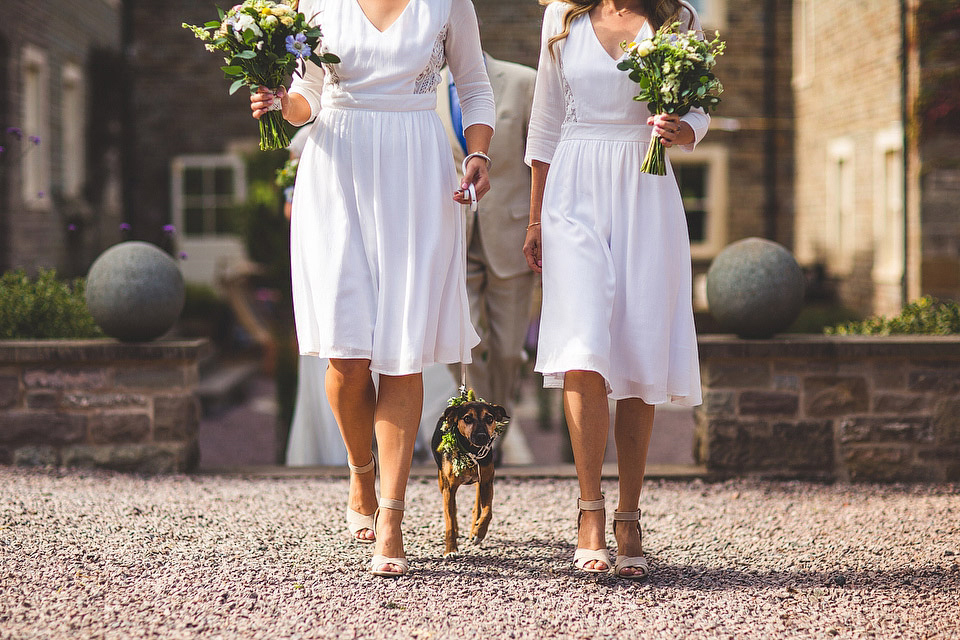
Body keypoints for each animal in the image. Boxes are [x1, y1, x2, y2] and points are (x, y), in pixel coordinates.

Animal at [434, 400, 510, 556]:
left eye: (489, 418)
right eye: (467, 418)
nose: (481, 436)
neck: (471, 451)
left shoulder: (486, 482)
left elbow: (488, 511)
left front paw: (478, 533)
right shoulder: (449, 488)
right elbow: (449, 520)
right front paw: (450, 550)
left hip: (479, 483)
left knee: (477, 507)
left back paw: (473, 528)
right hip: (442, 483)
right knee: (452, 508)